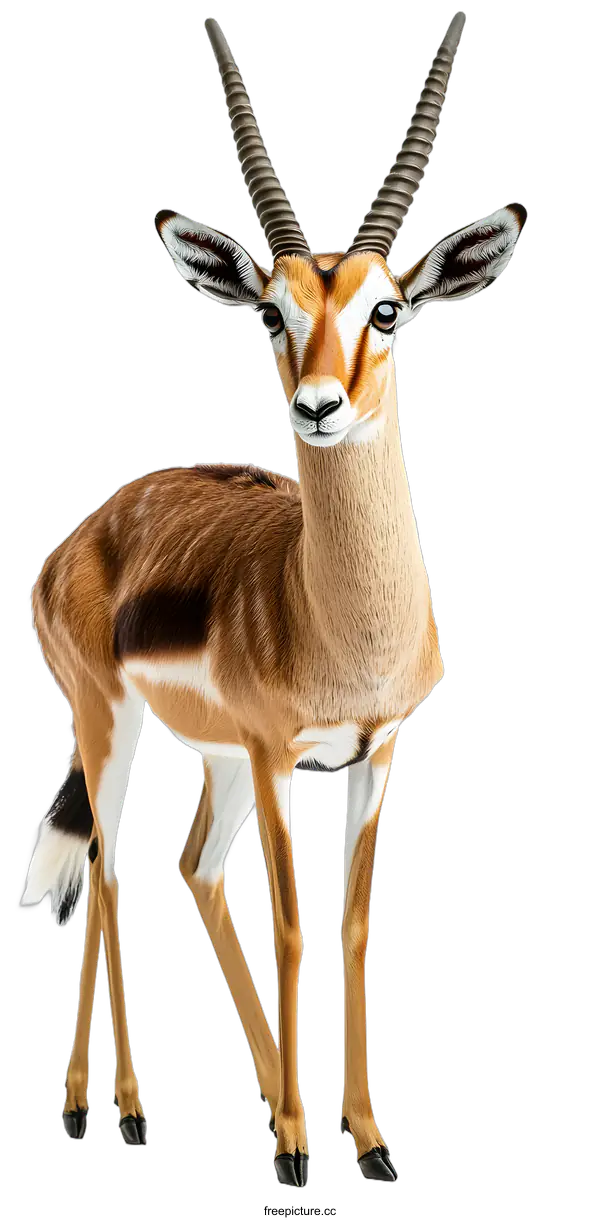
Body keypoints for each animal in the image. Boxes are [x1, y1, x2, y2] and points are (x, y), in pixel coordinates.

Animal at [22, 10, 527, 1190]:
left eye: (388, 307)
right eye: (268, 311)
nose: (319, 406)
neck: (340, 621)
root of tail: (85, 534)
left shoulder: (376, 753)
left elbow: (352, 925)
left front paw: (367, 1140)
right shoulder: (274, 753)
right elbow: (293, 921)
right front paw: (298, 1147)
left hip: (199, 753)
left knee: (178, 867)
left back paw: (176, 1099)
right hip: (112, 722)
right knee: (108, 870)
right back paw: (118, 1111)